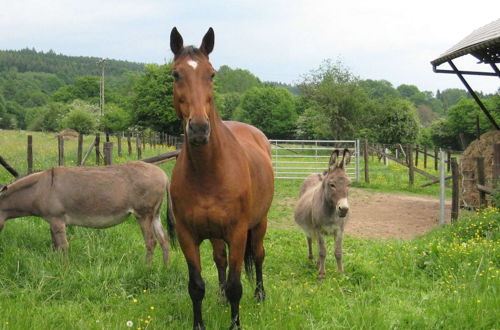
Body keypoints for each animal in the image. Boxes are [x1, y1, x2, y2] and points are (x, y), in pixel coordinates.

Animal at [170, 27, 276, 328]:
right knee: (220, 260)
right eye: (176, 74)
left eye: (212, 74)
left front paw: (235, 323)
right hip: (215, 234)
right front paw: (199, 323)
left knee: (259, 256)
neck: (208, 172)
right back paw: (219, 298)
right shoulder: (187, 235)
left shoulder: (238, 233)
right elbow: (196, 286)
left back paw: (260, 295)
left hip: (259, 223)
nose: (198, 129)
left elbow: (236, 286)